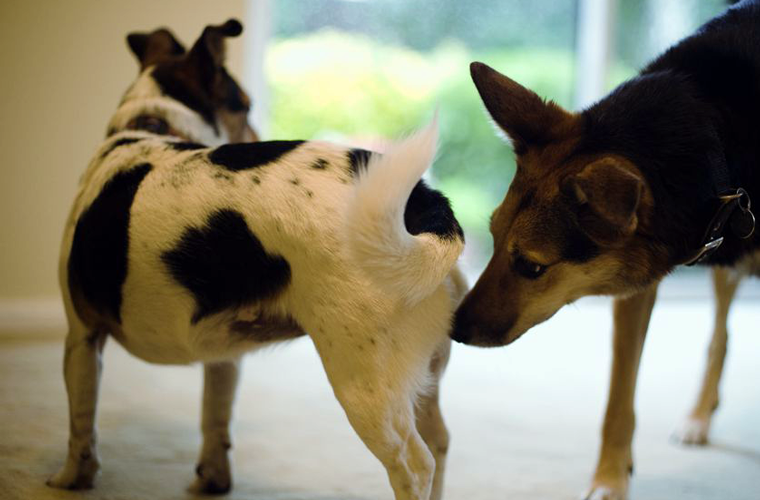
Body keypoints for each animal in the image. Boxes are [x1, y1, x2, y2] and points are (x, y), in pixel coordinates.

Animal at [50, 19, 466, 500]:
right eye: (245, 105)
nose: (255, 130)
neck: (149, 128)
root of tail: (424, 202)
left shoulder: (82, 335)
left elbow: (81, 424)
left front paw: (70, 481)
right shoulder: (223, 356)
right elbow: (215, 420)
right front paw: (212, 479)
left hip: (365, 382)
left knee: (415, 464)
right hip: (421, 376)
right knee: (439, 443)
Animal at [454, 0, 756, 500]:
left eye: (531, 266)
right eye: (492, 240)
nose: (453, 329)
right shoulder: (637, 286)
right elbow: (619, 396)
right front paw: (610, 480)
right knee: (720, 336)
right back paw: (699, 416)